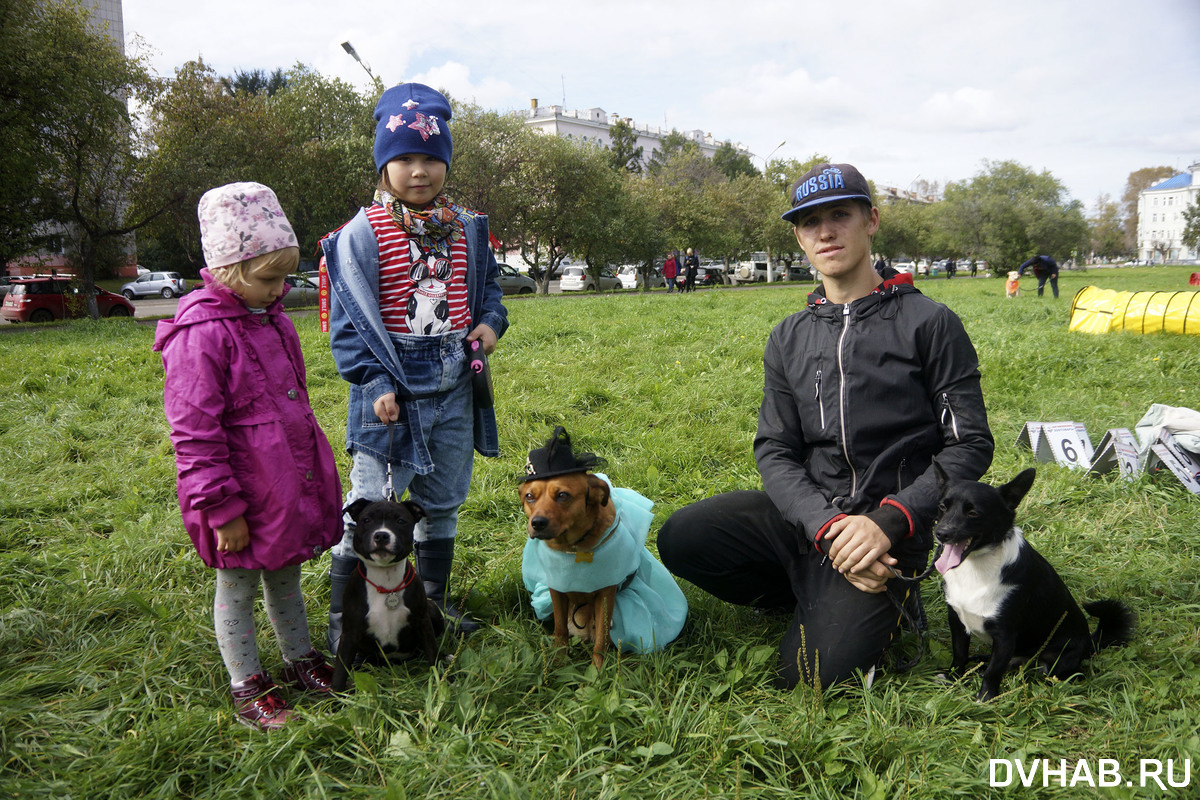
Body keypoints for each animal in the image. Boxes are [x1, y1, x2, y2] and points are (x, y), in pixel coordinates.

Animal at [331, 496, 444, 690]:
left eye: (401, 521)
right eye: (366, 520)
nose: (381, 535)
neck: (386, 580)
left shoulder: (423, 622)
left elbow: (432, 651)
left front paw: (443, 680)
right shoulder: (350, 633)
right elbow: (340, 667)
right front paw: (335, 694)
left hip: (433, 610)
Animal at [518, 470, 619, 671]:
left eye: (563, 495)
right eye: (529, 496)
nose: (537, 523)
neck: (573, 548)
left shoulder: (605, 594)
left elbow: (601, 639)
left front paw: (597, 671)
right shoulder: (556, 591)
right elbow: (560, 629)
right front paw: (558, 661)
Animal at [926, 462, 1132, 700]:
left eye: (973, 513)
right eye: (942, 507)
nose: (941, 533)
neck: (976, 566)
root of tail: (1090, 641)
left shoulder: (1005, 636)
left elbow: (993, 672)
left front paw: (985, 698)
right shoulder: (957, 621)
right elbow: (959, 654)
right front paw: (952, 679)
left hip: (1055, 663)